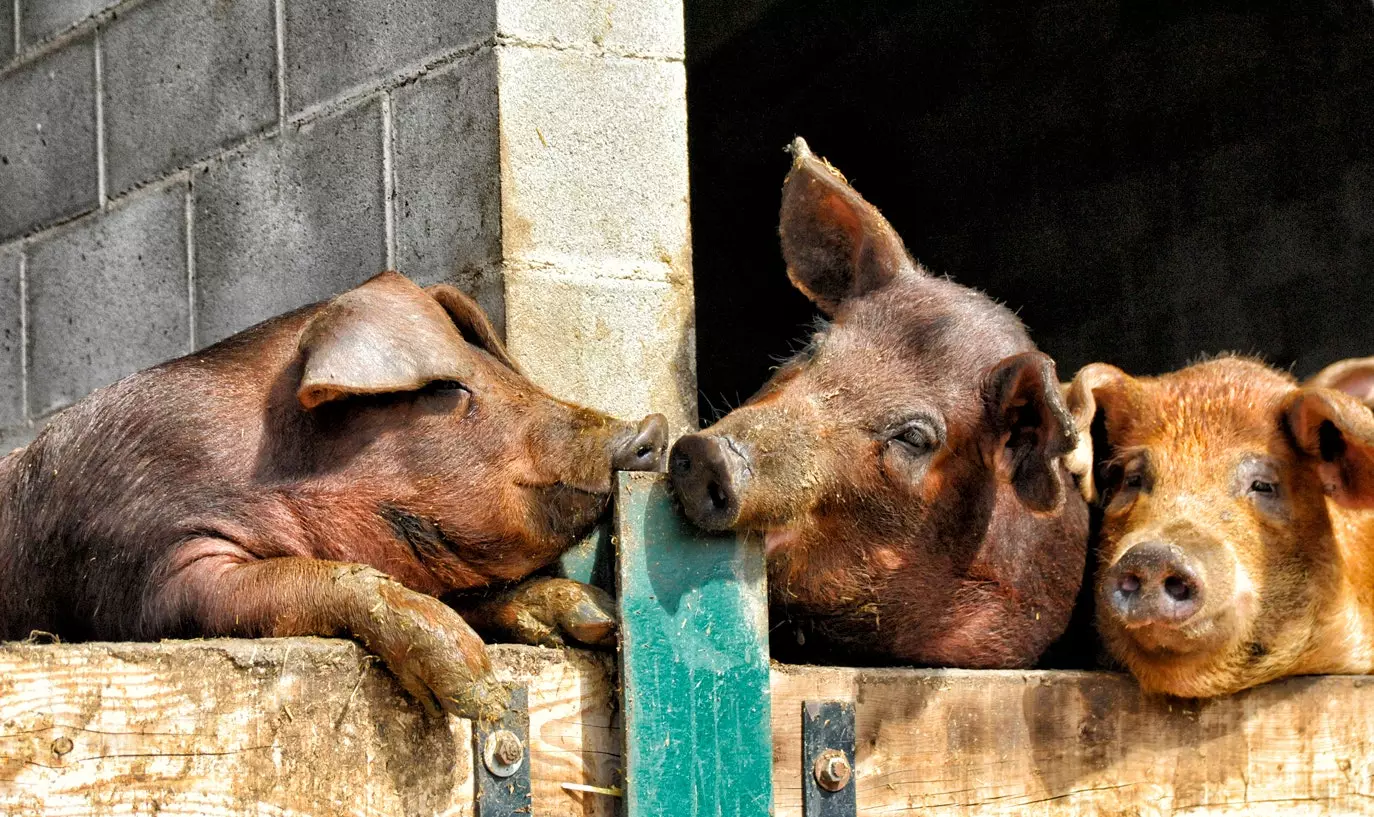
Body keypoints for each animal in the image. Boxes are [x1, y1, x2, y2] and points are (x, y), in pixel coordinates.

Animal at [0, 271, 667, 719]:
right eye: (448, 389)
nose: (651, 429)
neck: (262, 465)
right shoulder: (145, 569)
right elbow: (295, 579)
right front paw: (478, 692)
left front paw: (595, 616)